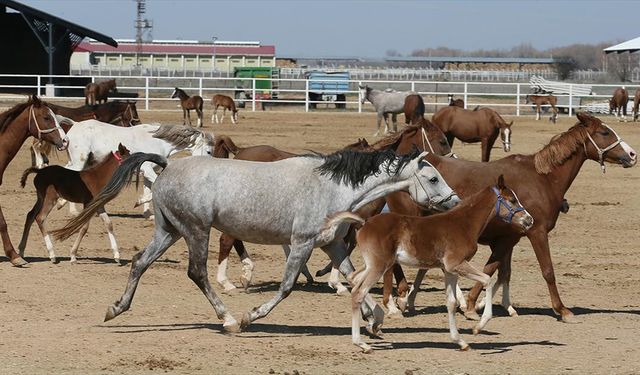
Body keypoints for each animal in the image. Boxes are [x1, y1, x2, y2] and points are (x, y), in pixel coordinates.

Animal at [51, 148, 460, 334]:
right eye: (433, 178)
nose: (454, 202)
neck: (332, 187)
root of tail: (167, 166)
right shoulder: (302, 243)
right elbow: (287, 286)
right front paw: (252, 315)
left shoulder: (331, 244)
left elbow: (353, 277)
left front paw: (374, 319)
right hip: (196, 230)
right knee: (198, 273)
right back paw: (229, 319)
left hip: (169, 231)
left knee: (140, 262)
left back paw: (115, 309)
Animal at [58, 122, 212, 217]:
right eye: (209, 151)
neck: (159, 142)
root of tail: (72, 129)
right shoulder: (147, 170)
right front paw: (139, 202)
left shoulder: (148, 172)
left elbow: (148, 190)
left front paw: (148, 214)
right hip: (80, 161)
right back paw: (69, 208)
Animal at [380, 112, 636, 324]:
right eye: (605, 132)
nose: (632, 155)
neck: (542, 179)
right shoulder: (536, 233)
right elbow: (546, 271)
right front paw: (562, 310)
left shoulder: (509, 237)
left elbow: (498, 270)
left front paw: (478, 304)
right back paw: (397, 302)